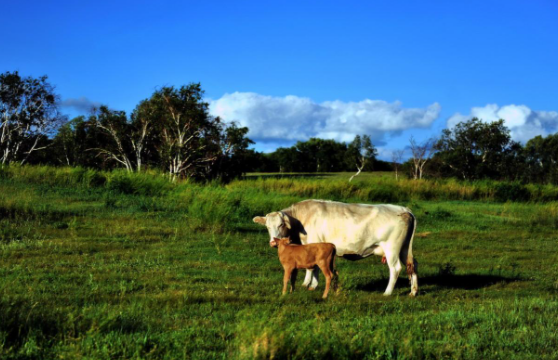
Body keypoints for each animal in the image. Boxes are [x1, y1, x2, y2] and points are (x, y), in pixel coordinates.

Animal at [254, 198, 420, 296]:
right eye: (267, 226)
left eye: (281, 224)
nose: (273, 242)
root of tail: (403, 209)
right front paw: (310, 284)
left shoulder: (313, 243)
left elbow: (312, 268)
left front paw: (309, 284)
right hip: (404, 248)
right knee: (413, 265)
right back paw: (413, 291)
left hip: (392, 248)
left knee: (395, 268)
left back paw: (387, 292)